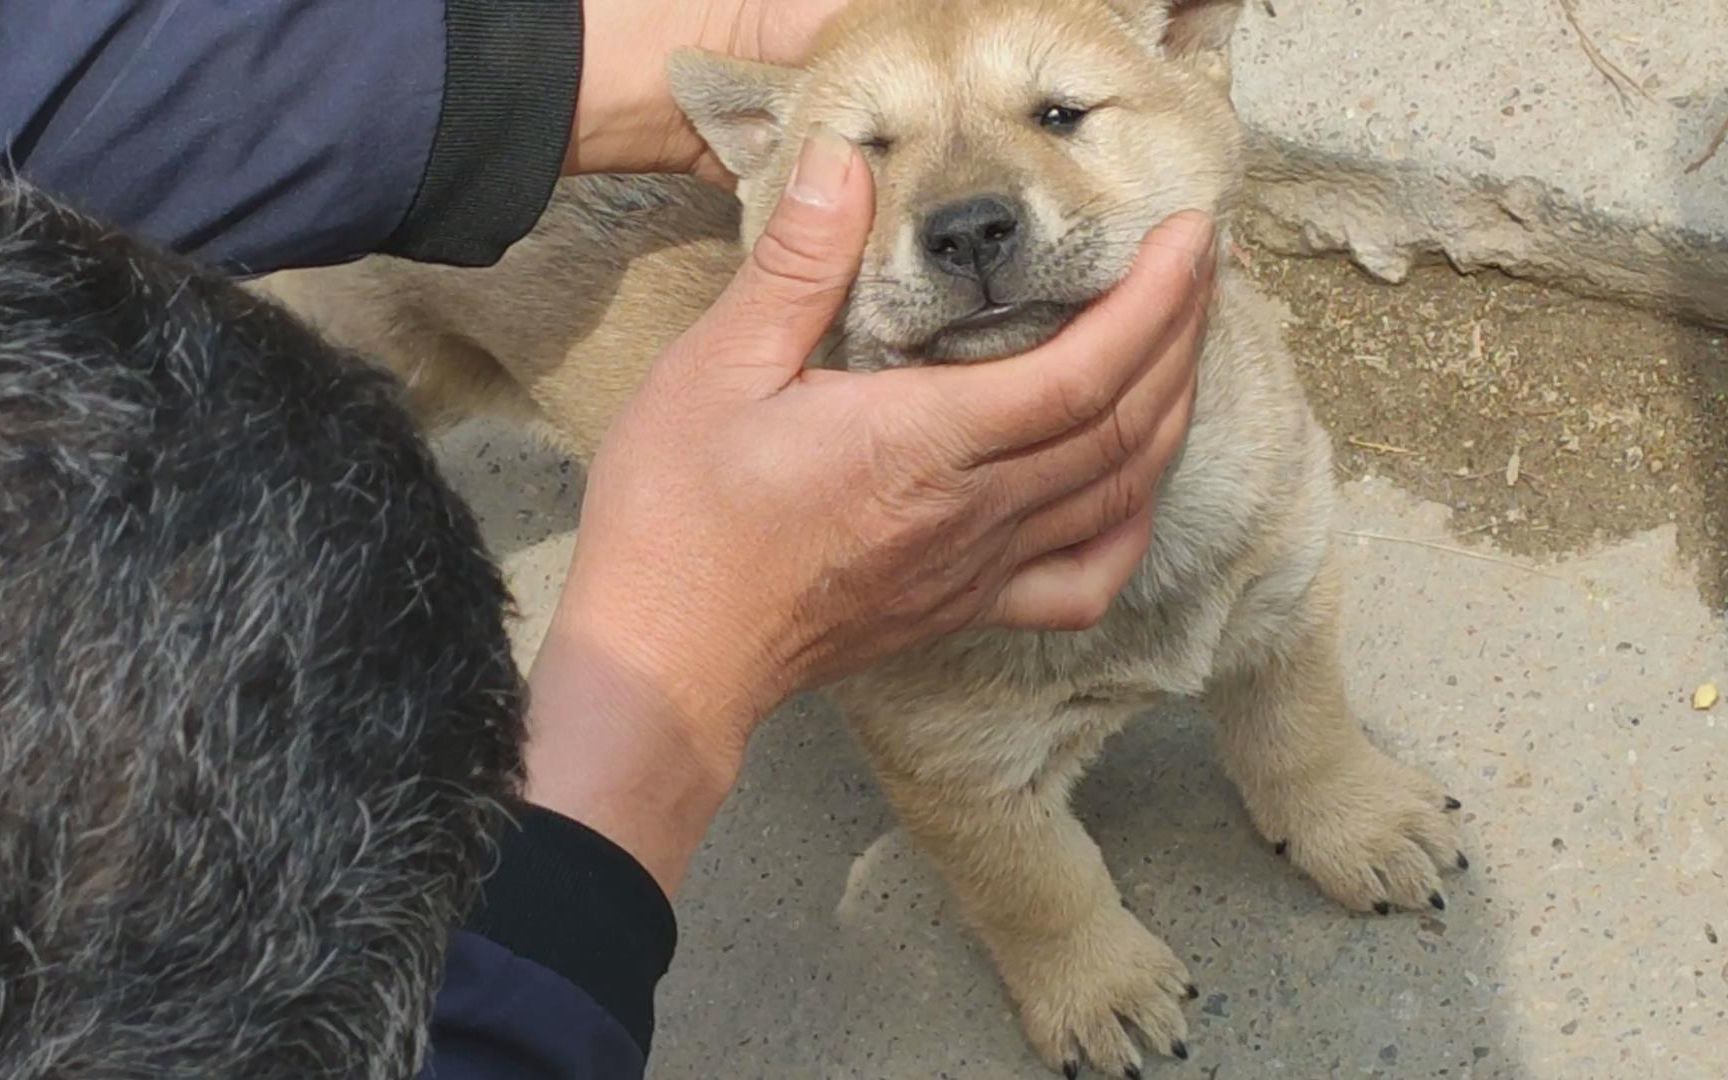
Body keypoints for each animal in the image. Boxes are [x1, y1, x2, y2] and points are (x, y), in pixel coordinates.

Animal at [259, 4, 1472, 1071]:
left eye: (1062, 114)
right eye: (870, 152)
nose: (969, 227)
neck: (1149, 520)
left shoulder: (1285, 592)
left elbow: (1304, 733)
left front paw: (1362, 824)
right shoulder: (958, 771)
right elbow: (1044, 887)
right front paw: (1100, 989)